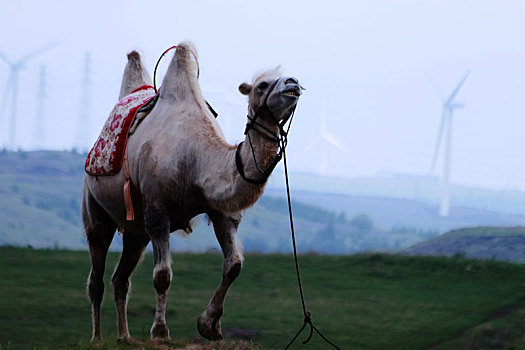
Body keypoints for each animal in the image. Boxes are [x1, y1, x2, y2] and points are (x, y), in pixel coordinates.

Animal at [83, 41, 302, 342]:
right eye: (262, 85)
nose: (294, 83)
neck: (197, 158)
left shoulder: (222, 212)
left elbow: (234, 265)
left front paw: (210, 326)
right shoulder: (157, 210)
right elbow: (162, 276)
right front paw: (160, 332)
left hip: (136, 231)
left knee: (121, 279)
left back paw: (124, 337)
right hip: (96, 212)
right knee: (97, 276)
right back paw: (97, 338)